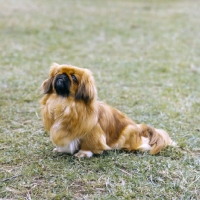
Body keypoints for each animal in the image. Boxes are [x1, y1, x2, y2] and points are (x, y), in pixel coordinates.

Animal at [39, 63, 176, 157]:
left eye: (73, 77)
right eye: (57, 73)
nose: (62, 76)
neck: (64, 102)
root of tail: (138, 127)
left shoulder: (92, 131)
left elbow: (88, 144)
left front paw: (83, 153)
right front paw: (61, 149)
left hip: (127, 132)